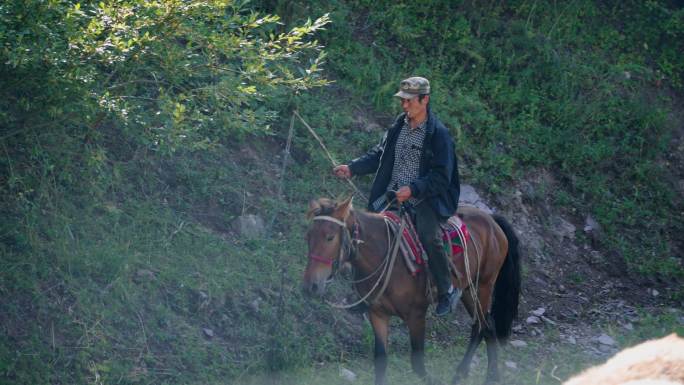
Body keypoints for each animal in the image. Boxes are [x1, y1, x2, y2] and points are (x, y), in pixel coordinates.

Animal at [302, 198, 520, 384]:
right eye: (308, 237)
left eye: (330, 237)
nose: (311, 286)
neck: (385, 254)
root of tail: (492, 220)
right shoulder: (377, 313)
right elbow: (380, 360)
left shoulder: (416, 315)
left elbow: (418, 364)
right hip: (467, 289)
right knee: (486, 324)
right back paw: (484, 375)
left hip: (483, 285)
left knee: (482, 326)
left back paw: (470, 374)